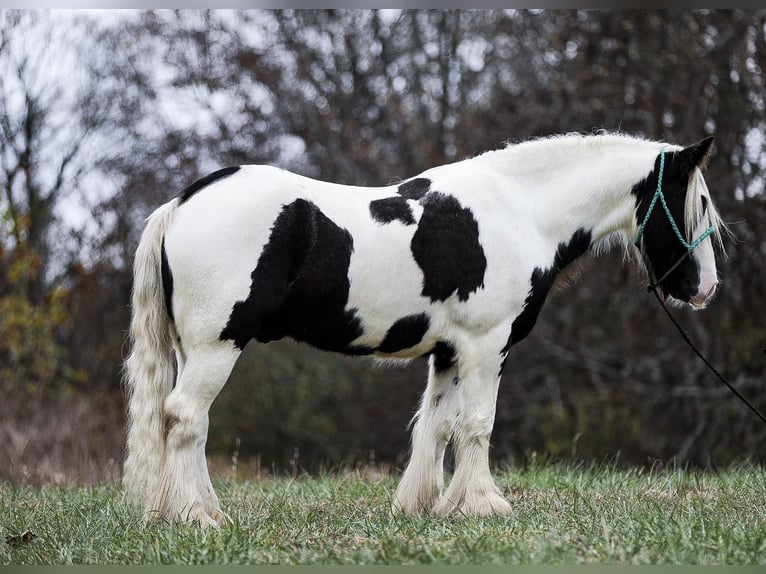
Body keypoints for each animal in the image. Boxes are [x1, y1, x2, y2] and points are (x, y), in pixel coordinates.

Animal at [121, 133, 728, 528]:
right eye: (698, 202)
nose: (705, 289)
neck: (521, 211)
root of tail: (181, 204)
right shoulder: (487, 345)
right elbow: (477, 424)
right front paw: (484, 505)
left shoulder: (449, 352)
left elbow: (435, 427)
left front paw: (424, 506)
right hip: (215, 346)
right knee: (186, 418)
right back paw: (198, 517)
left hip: (194, 350)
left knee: (185, 422)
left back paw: (199, 511)